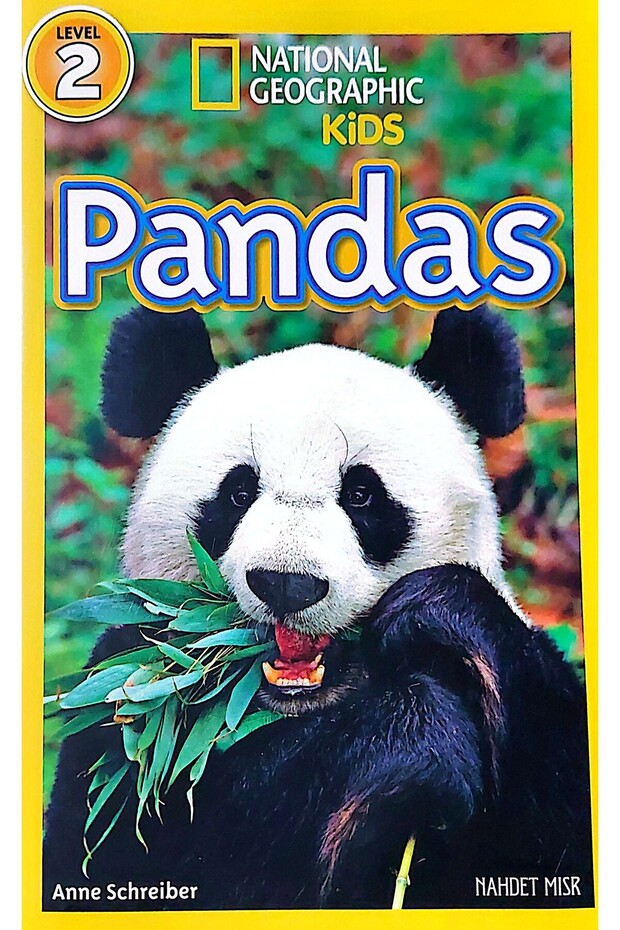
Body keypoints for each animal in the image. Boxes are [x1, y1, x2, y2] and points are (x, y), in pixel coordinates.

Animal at [44, 305, 594, 910]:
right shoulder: (127, 705)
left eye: (361, 495)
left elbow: (559, 827)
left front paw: (438, 614)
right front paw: (414, 739)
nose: (288, 584)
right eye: (238, 493)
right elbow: (132, 851)